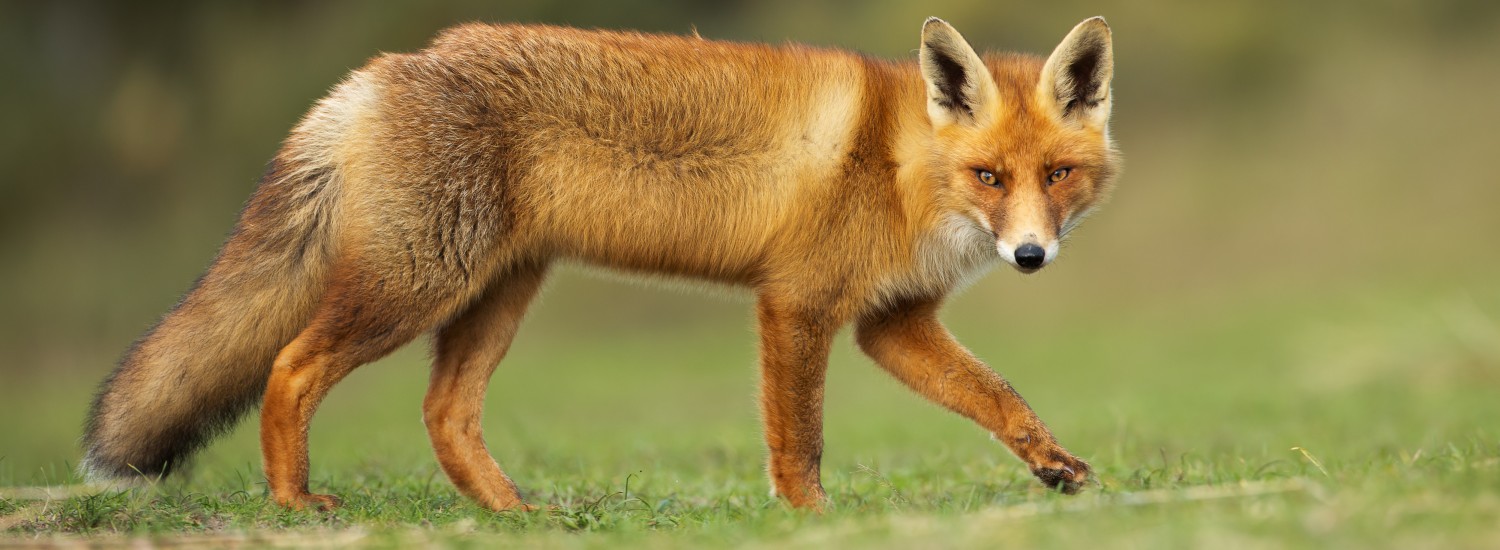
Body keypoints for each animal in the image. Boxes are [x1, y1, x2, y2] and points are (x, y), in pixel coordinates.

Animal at [82, 16, 1120, 511]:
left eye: (1057, 176)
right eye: (989, 176)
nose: (1030, 254)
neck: (904, 167)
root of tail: (385, 69)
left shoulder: (889, 322)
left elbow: (998, 397)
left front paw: (1054, 465)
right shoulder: (796, 306)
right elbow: (801, 442)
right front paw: (811, 519)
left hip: (496, 291)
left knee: (445, 414)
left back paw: (514, 516)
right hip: (415, 283)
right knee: (291, 368)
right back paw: (295, 500)